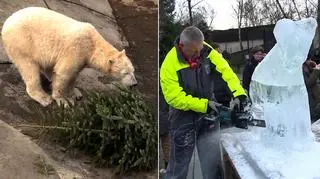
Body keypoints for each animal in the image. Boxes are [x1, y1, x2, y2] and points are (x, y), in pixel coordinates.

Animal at [0, 7, 137, 107]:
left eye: (133, 71)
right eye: (125, 73)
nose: (135, 84)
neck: (92, 45)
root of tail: (7, 23)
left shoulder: (81, 58)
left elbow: (73, 74)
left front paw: (74, 93)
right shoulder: (76, 49)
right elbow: (64, 73)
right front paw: (63, 100)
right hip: (23, 43)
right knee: (29, 69)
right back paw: (44, 98)